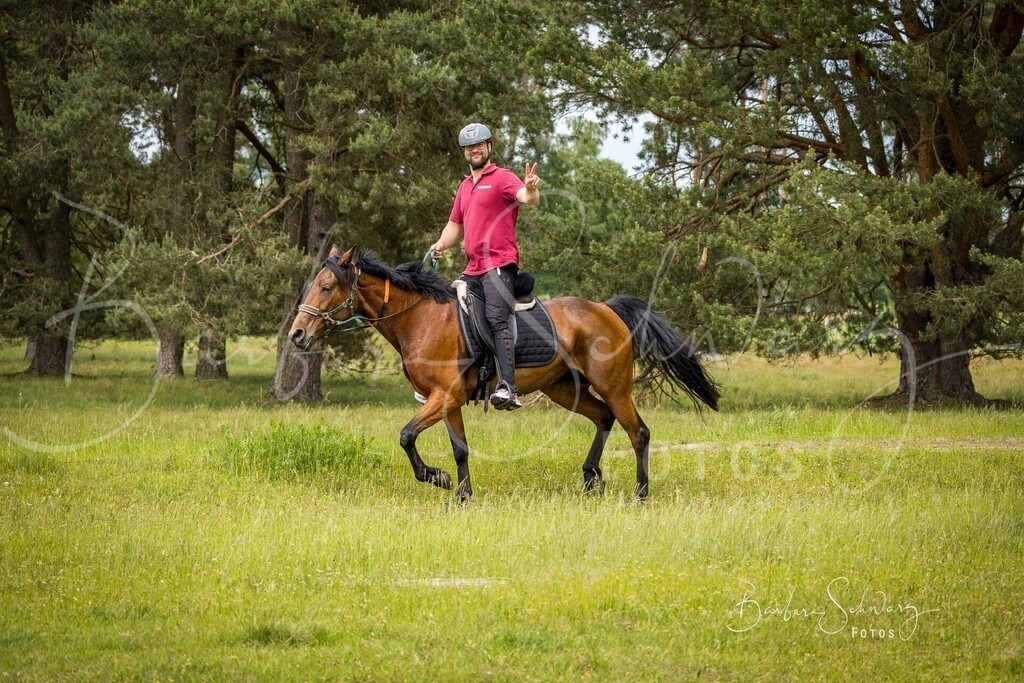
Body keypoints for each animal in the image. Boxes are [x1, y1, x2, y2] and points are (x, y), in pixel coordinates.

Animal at [288, 245, 719, 501]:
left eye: (326, 286)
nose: (297, 334)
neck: (421, 317)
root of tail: (606, 309)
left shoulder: (443, 396)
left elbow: (407, 436)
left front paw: (437, 478)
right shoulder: (448, 401)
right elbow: (460, 449)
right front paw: (461, 494)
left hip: (613, 385)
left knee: (638, 432)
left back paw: (639, 495)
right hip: (565, 389)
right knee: (604, 418)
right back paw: (591, 479)